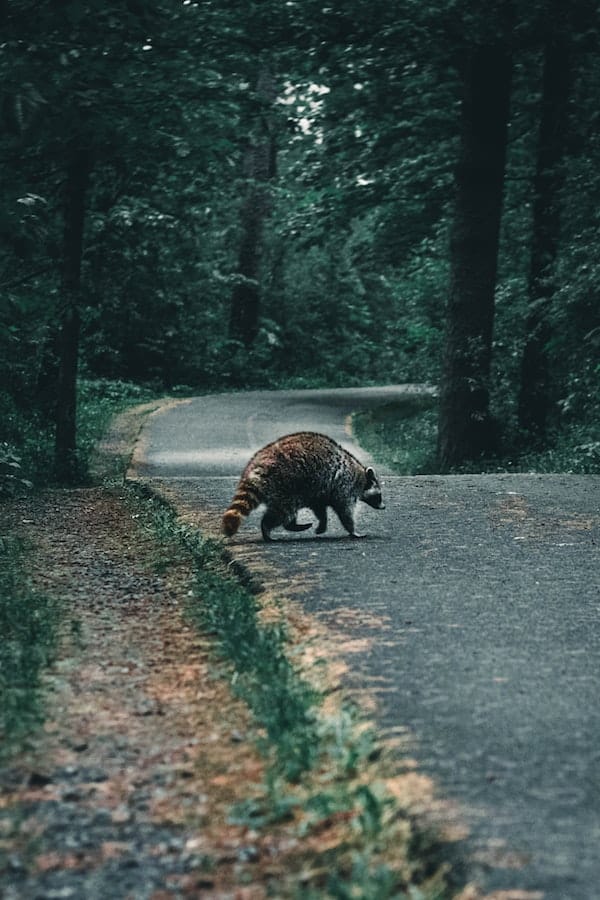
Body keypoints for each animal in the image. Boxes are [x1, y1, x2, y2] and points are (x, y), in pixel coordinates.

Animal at [222, 431, 385, 541]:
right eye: (379, 495)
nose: (384, 507)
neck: (360, 476)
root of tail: (257, 465)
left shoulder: (321, 490)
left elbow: (320, 508)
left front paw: (323, 524)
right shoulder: (344, 486)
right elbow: (345, 511)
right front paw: (353, 530)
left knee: (287, 511)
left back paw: (292, 525)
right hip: (284, 484)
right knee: (283, 512)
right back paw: (267, 527)